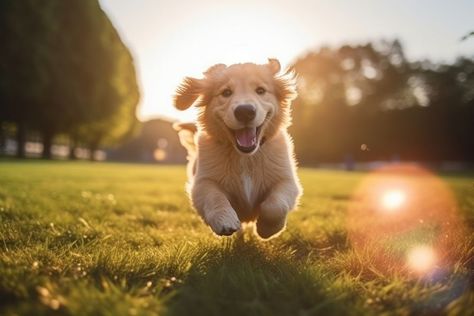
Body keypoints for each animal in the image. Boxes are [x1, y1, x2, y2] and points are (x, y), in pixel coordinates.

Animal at [173, 58, 300, 238]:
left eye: (260, 90)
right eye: (226, 92)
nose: (245, 111)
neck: (245, 157)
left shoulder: (287, 180)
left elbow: (275, 205)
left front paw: (267, 229)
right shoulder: (202, 182)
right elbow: (214, 197)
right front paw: (225, 220)